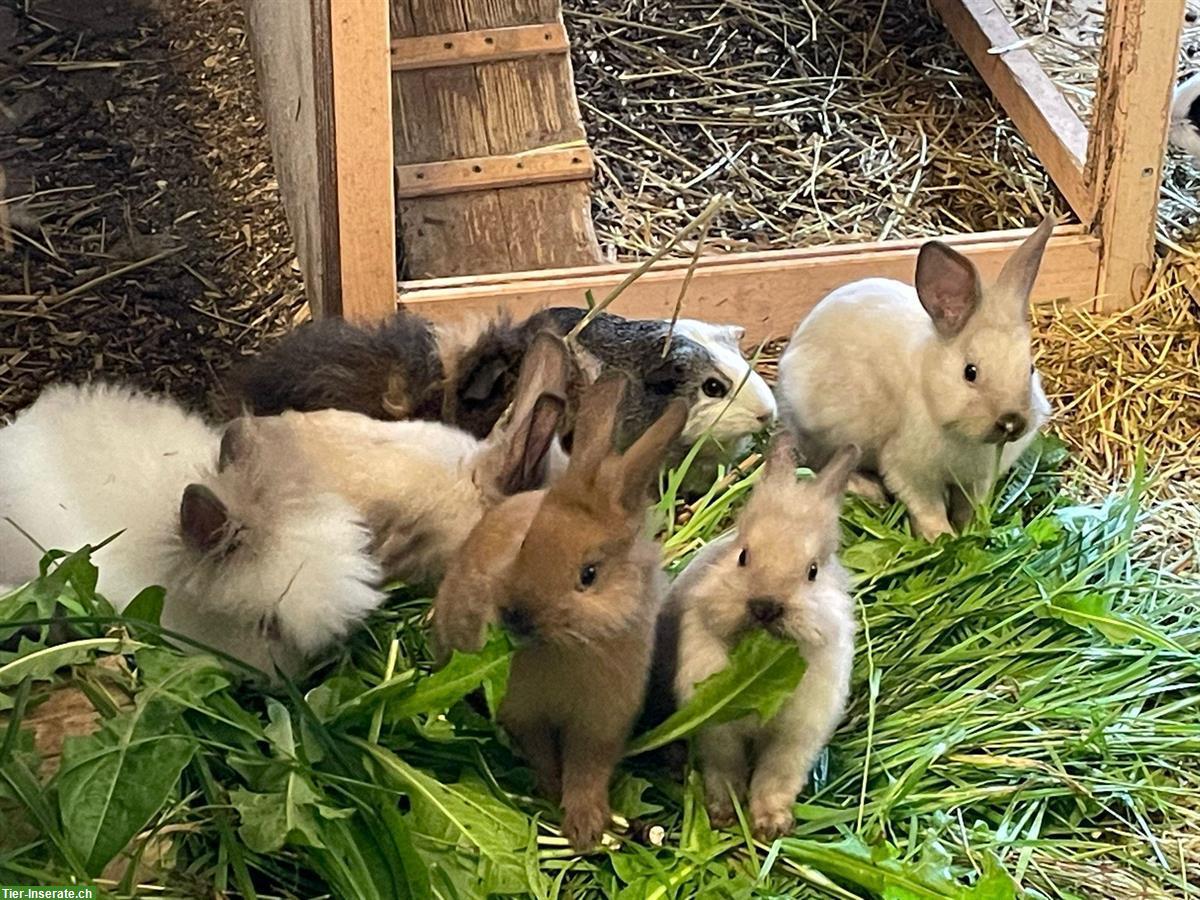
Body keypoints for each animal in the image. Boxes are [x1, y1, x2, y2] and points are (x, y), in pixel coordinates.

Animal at [436, 374, 691, 854]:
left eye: (588, 574)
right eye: (526, 543)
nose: (514, 615)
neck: (570, 649)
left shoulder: (601, 723)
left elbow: (588, 769)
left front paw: (586, 826)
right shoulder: (523, 714)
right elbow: (542, 756)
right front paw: (553, 796)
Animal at [672, 441, 859, 844]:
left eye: (812, 571)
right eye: (743, 556)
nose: (765, 607)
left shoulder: (797, 738)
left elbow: (776, 779)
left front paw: (771, 825)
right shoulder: (717, 731)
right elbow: (724, 770)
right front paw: (723, 813)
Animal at [777, 217, 1051, 542]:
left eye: (1030, 368)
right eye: (970, 372)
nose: (1011, 422)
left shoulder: (977, 480)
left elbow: (968, 506)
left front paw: (970, 529)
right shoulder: (909, 470)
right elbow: (927, 507)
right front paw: (942, 538)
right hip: (824, 430)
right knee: (821, 462)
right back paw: (868, 490)